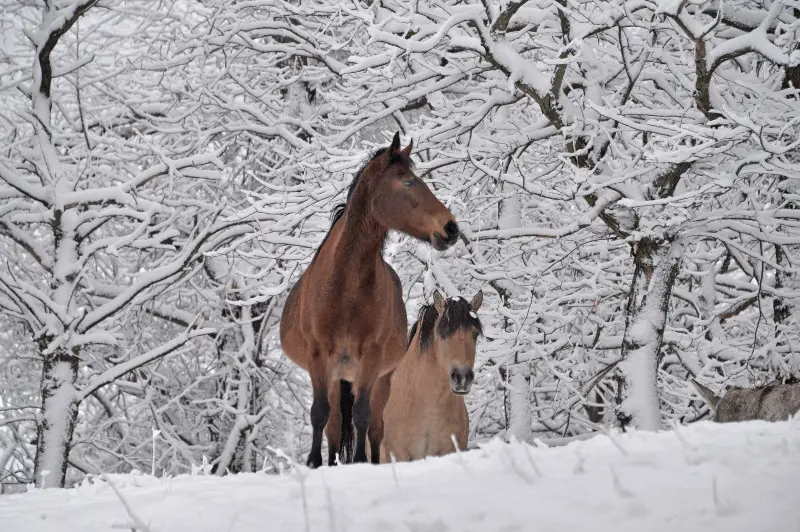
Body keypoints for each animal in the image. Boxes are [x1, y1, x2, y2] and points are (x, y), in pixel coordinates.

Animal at [280, 135, 456, 468]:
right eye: (408, 181)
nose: (451, 228)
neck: (345, 288)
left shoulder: (371, 358)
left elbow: (362, 417)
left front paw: (361, 462)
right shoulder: (319, 356)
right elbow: (320, 415)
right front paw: (314, 463)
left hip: (379, 380)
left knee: (375, 427)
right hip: (337, 377)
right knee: (334, 427)